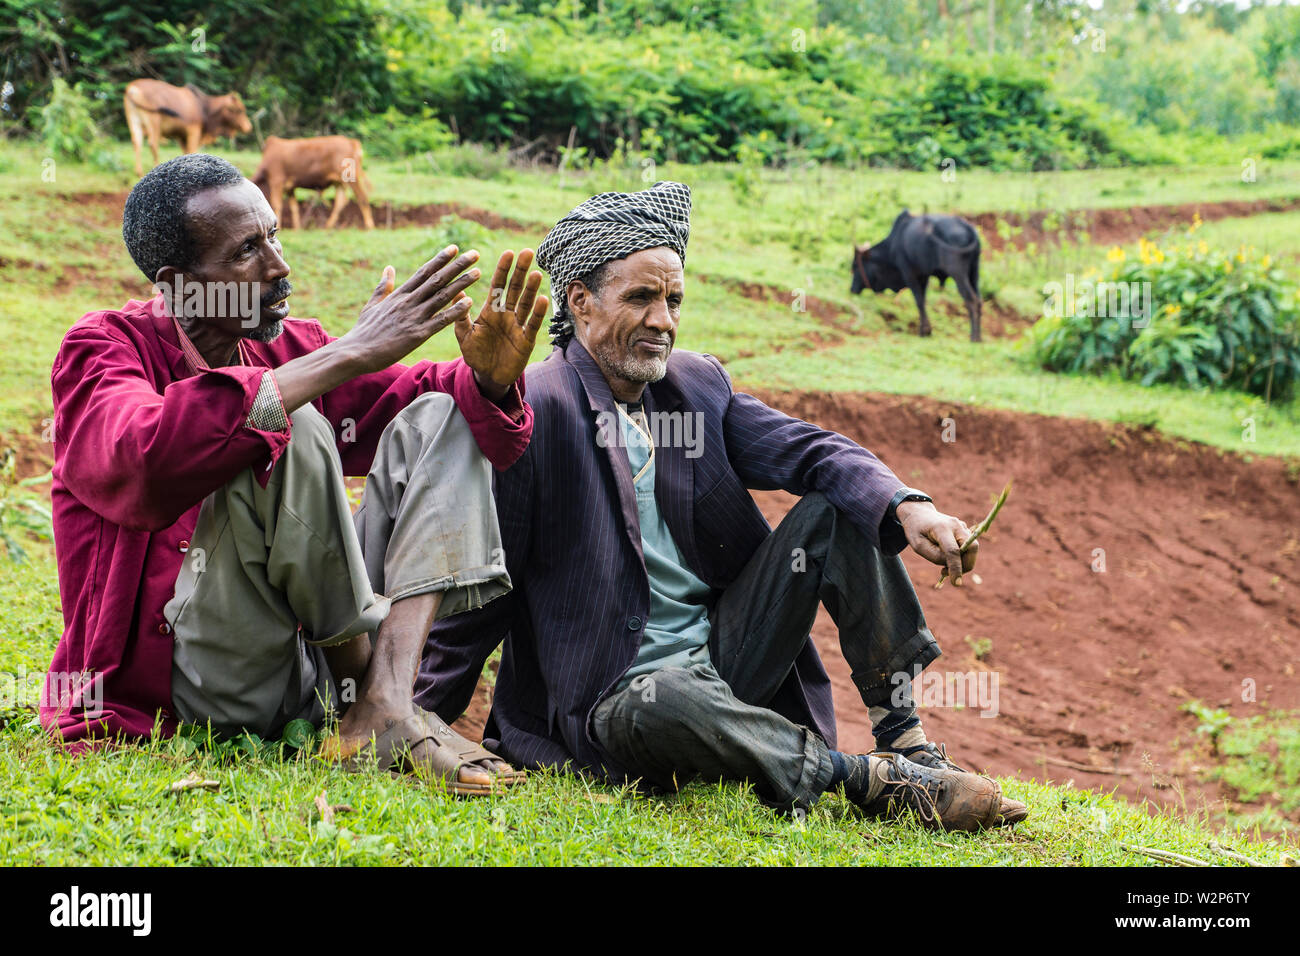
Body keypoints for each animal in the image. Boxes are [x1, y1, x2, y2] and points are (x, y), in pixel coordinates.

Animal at [122, 79, 252, 176]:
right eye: (239, 110)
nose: (248, 127)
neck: (203, 107)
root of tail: (132, 89)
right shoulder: (193, 131)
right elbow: (192, 150)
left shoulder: (181, 136)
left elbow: (186, 153)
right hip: (154, 121)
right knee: (153, 143)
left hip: (134, 121)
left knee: (137, 142)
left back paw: (139, 172)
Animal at [847, 209, 977, 340]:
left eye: (855, 266)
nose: (852, 289)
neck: (893, 245)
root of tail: (968, 228)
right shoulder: (924, 276)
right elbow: (923, 300)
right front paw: (926, 330)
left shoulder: (908, 272)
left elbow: (919, 301)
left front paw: (924, 331)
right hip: (974, 272)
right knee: (978, 299)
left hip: (958, 274)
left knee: (971, 300)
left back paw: (975, 337)